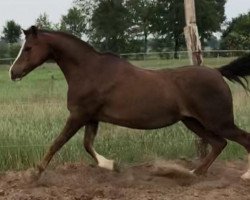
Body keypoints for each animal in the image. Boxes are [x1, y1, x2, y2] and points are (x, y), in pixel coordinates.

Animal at [9, 25, 250, 180]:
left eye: (28, 48)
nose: (13, 72)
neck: (89, 71)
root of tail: (218, 72)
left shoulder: (78, 115)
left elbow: (57, 143)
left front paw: (35, 173)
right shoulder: (91, 118)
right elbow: (87, 144)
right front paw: (111, 165)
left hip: (218, 121)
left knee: (241, 139)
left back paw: (244, 175)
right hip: (193, 122)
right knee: (219, 144)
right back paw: (195, 173)